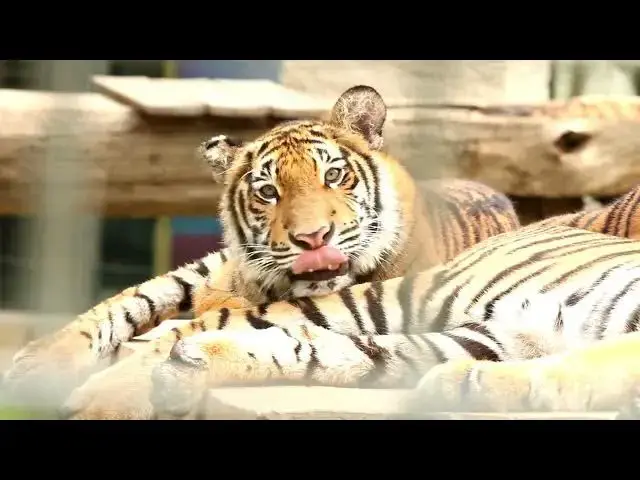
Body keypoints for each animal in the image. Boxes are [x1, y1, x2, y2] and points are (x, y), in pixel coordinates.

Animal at [2, 85, 521, 419]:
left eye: (334, 175)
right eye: (268, 191)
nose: (313, 238)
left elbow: (186, 338)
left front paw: (103, 404)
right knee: (137, 297)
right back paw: (36, 364)